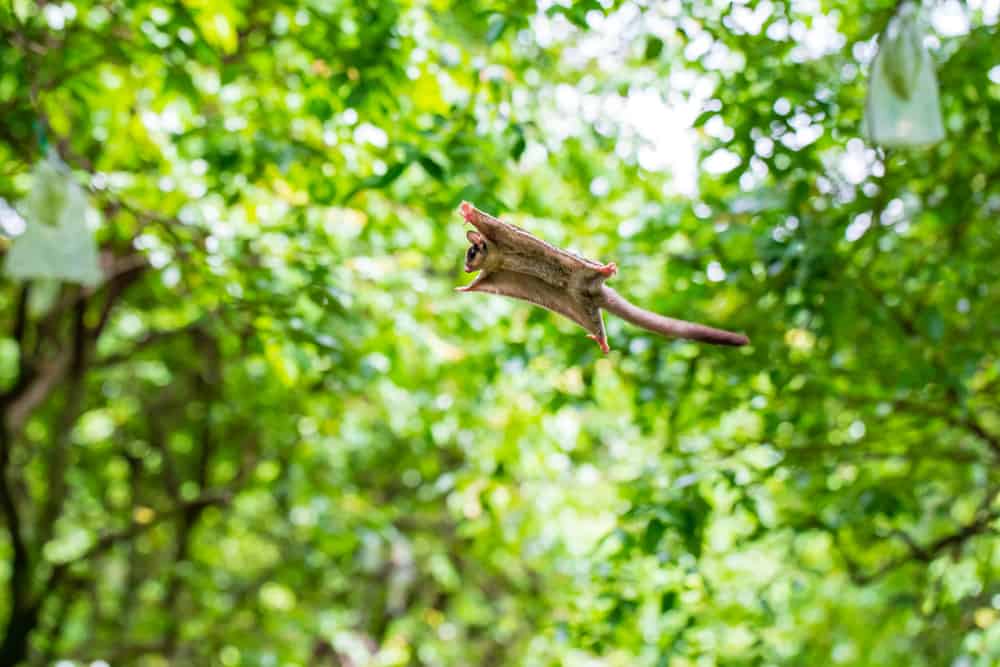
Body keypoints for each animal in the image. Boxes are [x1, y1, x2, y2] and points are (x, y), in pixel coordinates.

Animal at [458, 201, 748, 352]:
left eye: (471, 253)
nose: (465, 268)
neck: (497, 256)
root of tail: (596, 291)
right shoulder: (493, 273)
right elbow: (481, 283)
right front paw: (465, 288)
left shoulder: (501, 236)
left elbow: (489, 223)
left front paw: (469, 212)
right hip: (580, 305)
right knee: (595, 322)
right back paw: (601, 340)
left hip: (582, 271)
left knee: (592, 269)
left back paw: (604, 270)